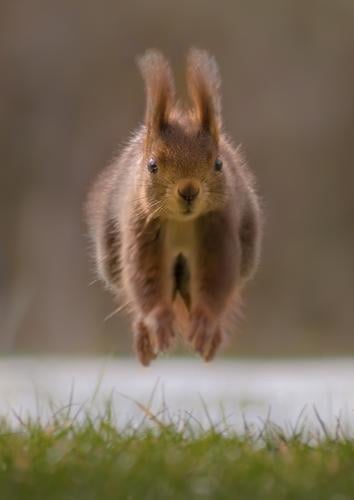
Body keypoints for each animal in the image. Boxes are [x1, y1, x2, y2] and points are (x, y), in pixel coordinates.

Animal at [86, 48, 262, 366]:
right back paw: (144, 340)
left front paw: (205, 324)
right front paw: (158, 322)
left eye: (218, 163)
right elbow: (144, 280)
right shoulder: (140, 229)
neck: (181, 221)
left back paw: (210, 341)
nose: (188, 190)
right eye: (152, 165)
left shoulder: (219, 229)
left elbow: (217, 280)